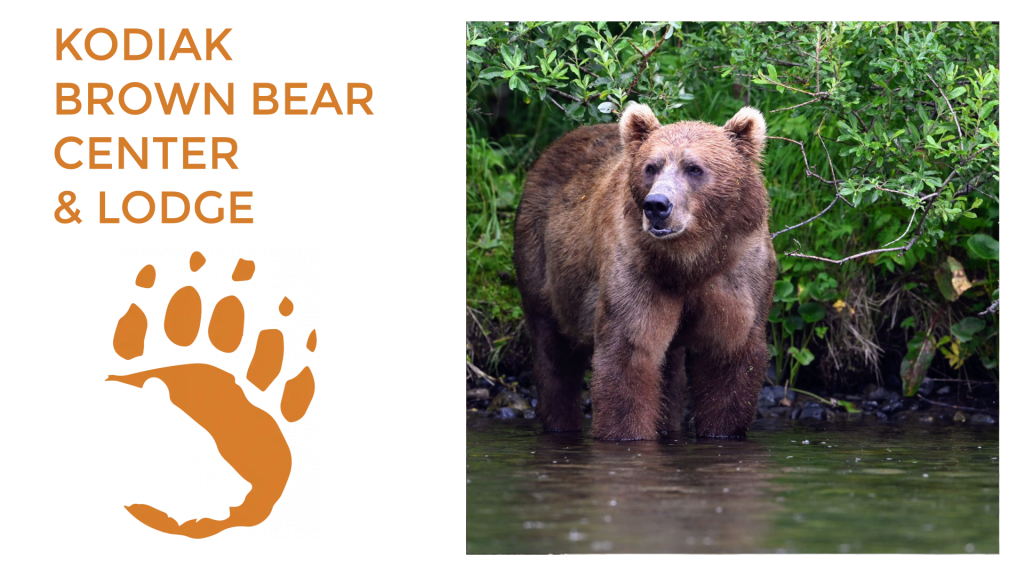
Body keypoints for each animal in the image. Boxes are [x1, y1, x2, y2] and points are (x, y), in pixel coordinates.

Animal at [513, 102, 776, 441]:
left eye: (694, 168)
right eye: (651, 167)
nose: (657, 205)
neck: (689, 260)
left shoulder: (736, 270)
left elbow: (729, 356)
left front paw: (723, 430)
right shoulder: (637, 267)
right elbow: (630, 352)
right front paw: (626, 433)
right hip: (543, 259)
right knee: (553, 351)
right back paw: (561, 422)